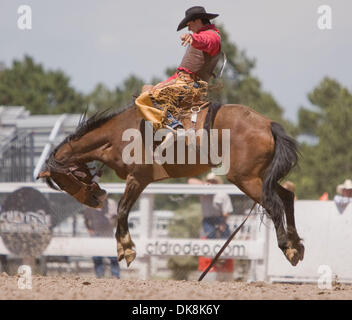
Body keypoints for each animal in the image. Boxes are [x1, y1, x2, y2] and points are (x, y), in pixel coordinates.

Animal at [37, 104, 302, 266]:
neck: (116, 135)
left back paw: (288, 249)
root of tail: (267, 124)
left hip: (246, 179)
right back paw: (297, 245)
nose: (96, 200)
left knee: (274, 206)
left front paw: (127, 250)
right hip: (262, 178)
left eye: (66, 180)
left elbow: (122, 210)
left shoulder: (138, 178)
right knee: (287, 197)